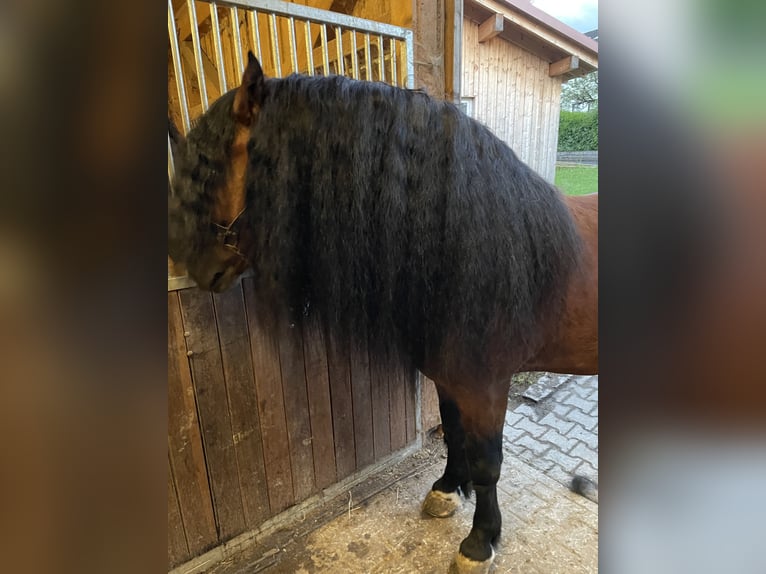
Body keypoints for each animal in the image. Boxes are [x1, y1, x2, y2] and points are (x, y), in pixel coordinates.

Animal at [171, 51, 596, 572]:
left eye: (209, 169)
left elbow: (487, 463)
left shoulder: (486, 385)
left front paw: (480, 541)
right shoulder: (448, 377)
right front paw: (446, 491)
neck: (471, 244)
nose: (195, 269)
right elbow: (453, 433)